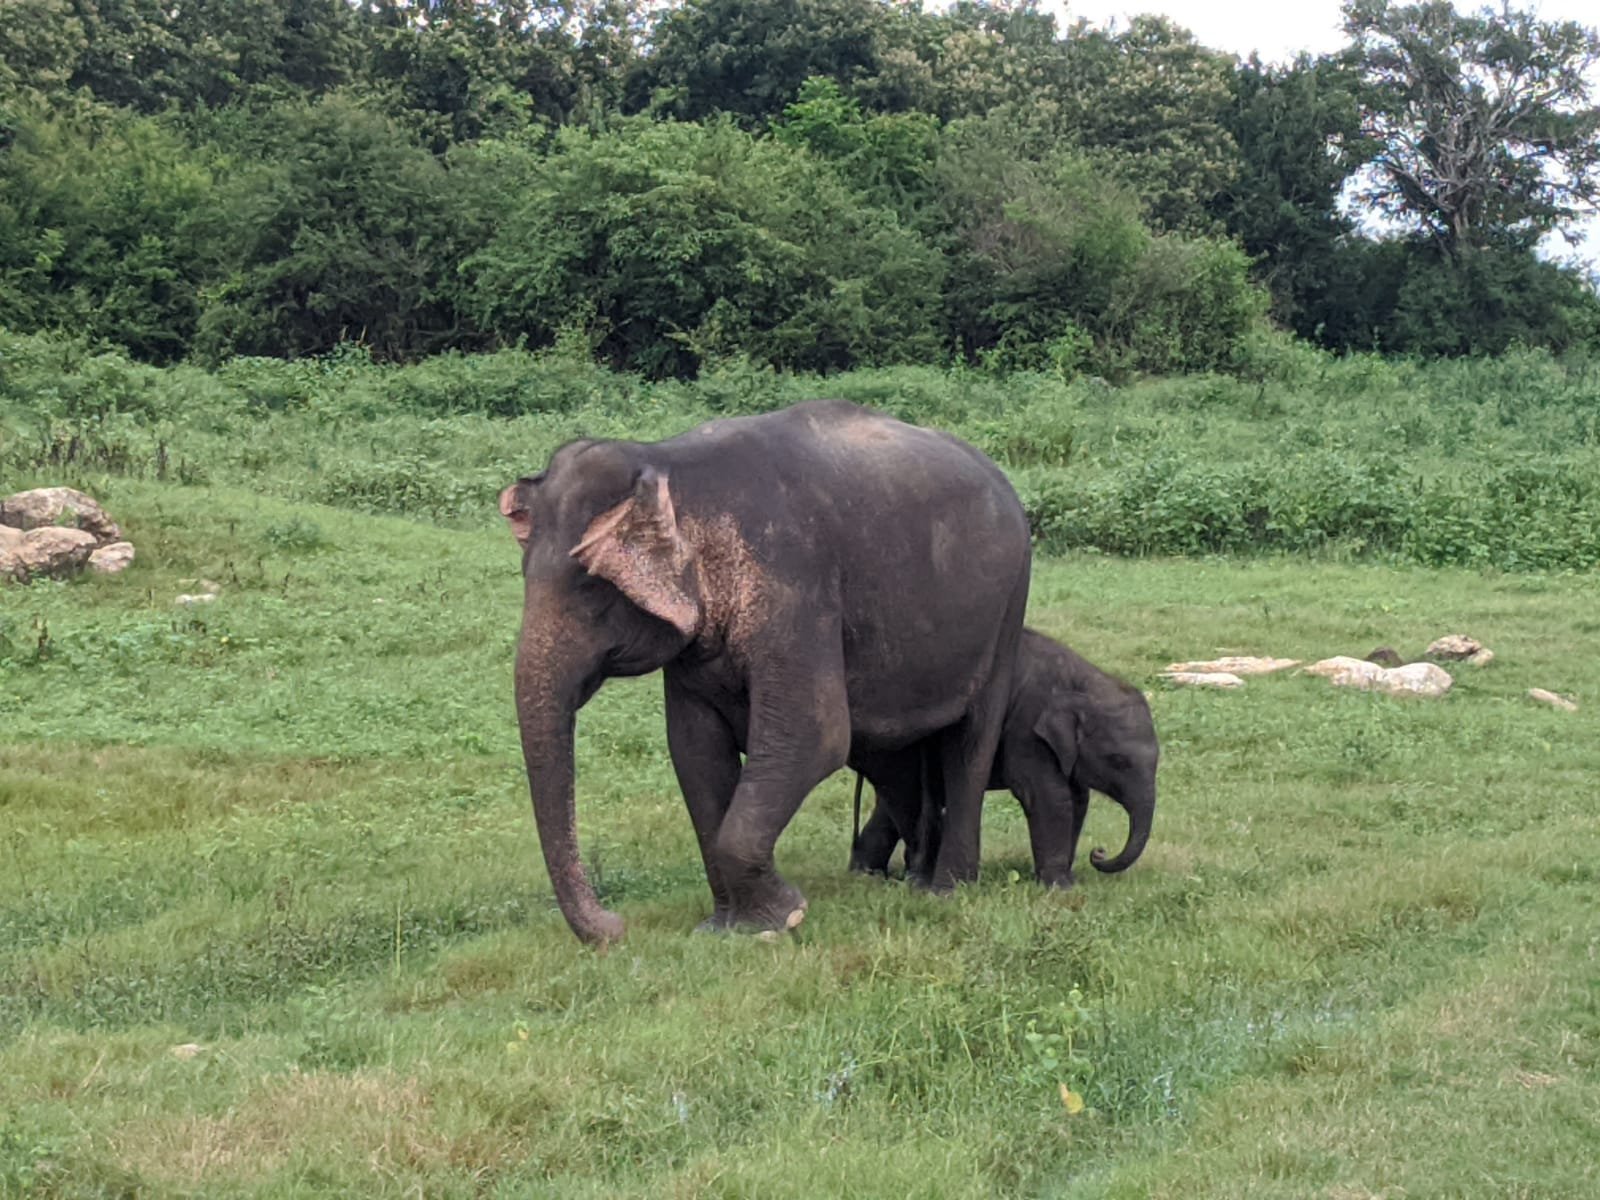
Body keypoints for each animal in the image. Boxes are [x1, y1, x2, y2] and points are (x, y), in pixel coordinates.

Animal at [492, 400, 1030, 947]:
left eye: (590, 588)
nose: (616, 927)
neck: (666, 459)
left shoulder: (795, 587)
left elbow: (814, 736)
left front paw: (784, 918)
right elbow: (695, 752)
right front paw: (726, 928)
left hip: (1008, 608)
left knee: (969, 745)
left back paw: (947, 889)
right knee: (897, 760)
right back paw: (918, 877)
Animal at [851, 633, 1164, 889]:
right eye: (1118, 761)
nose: (1098, 853)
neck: (1083, 679)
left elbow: (1078, 798)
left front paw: (1065, 878)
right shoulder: (1026, 729)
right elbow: (1050, 795)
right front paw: (1061, 887)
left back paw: (868, 875)